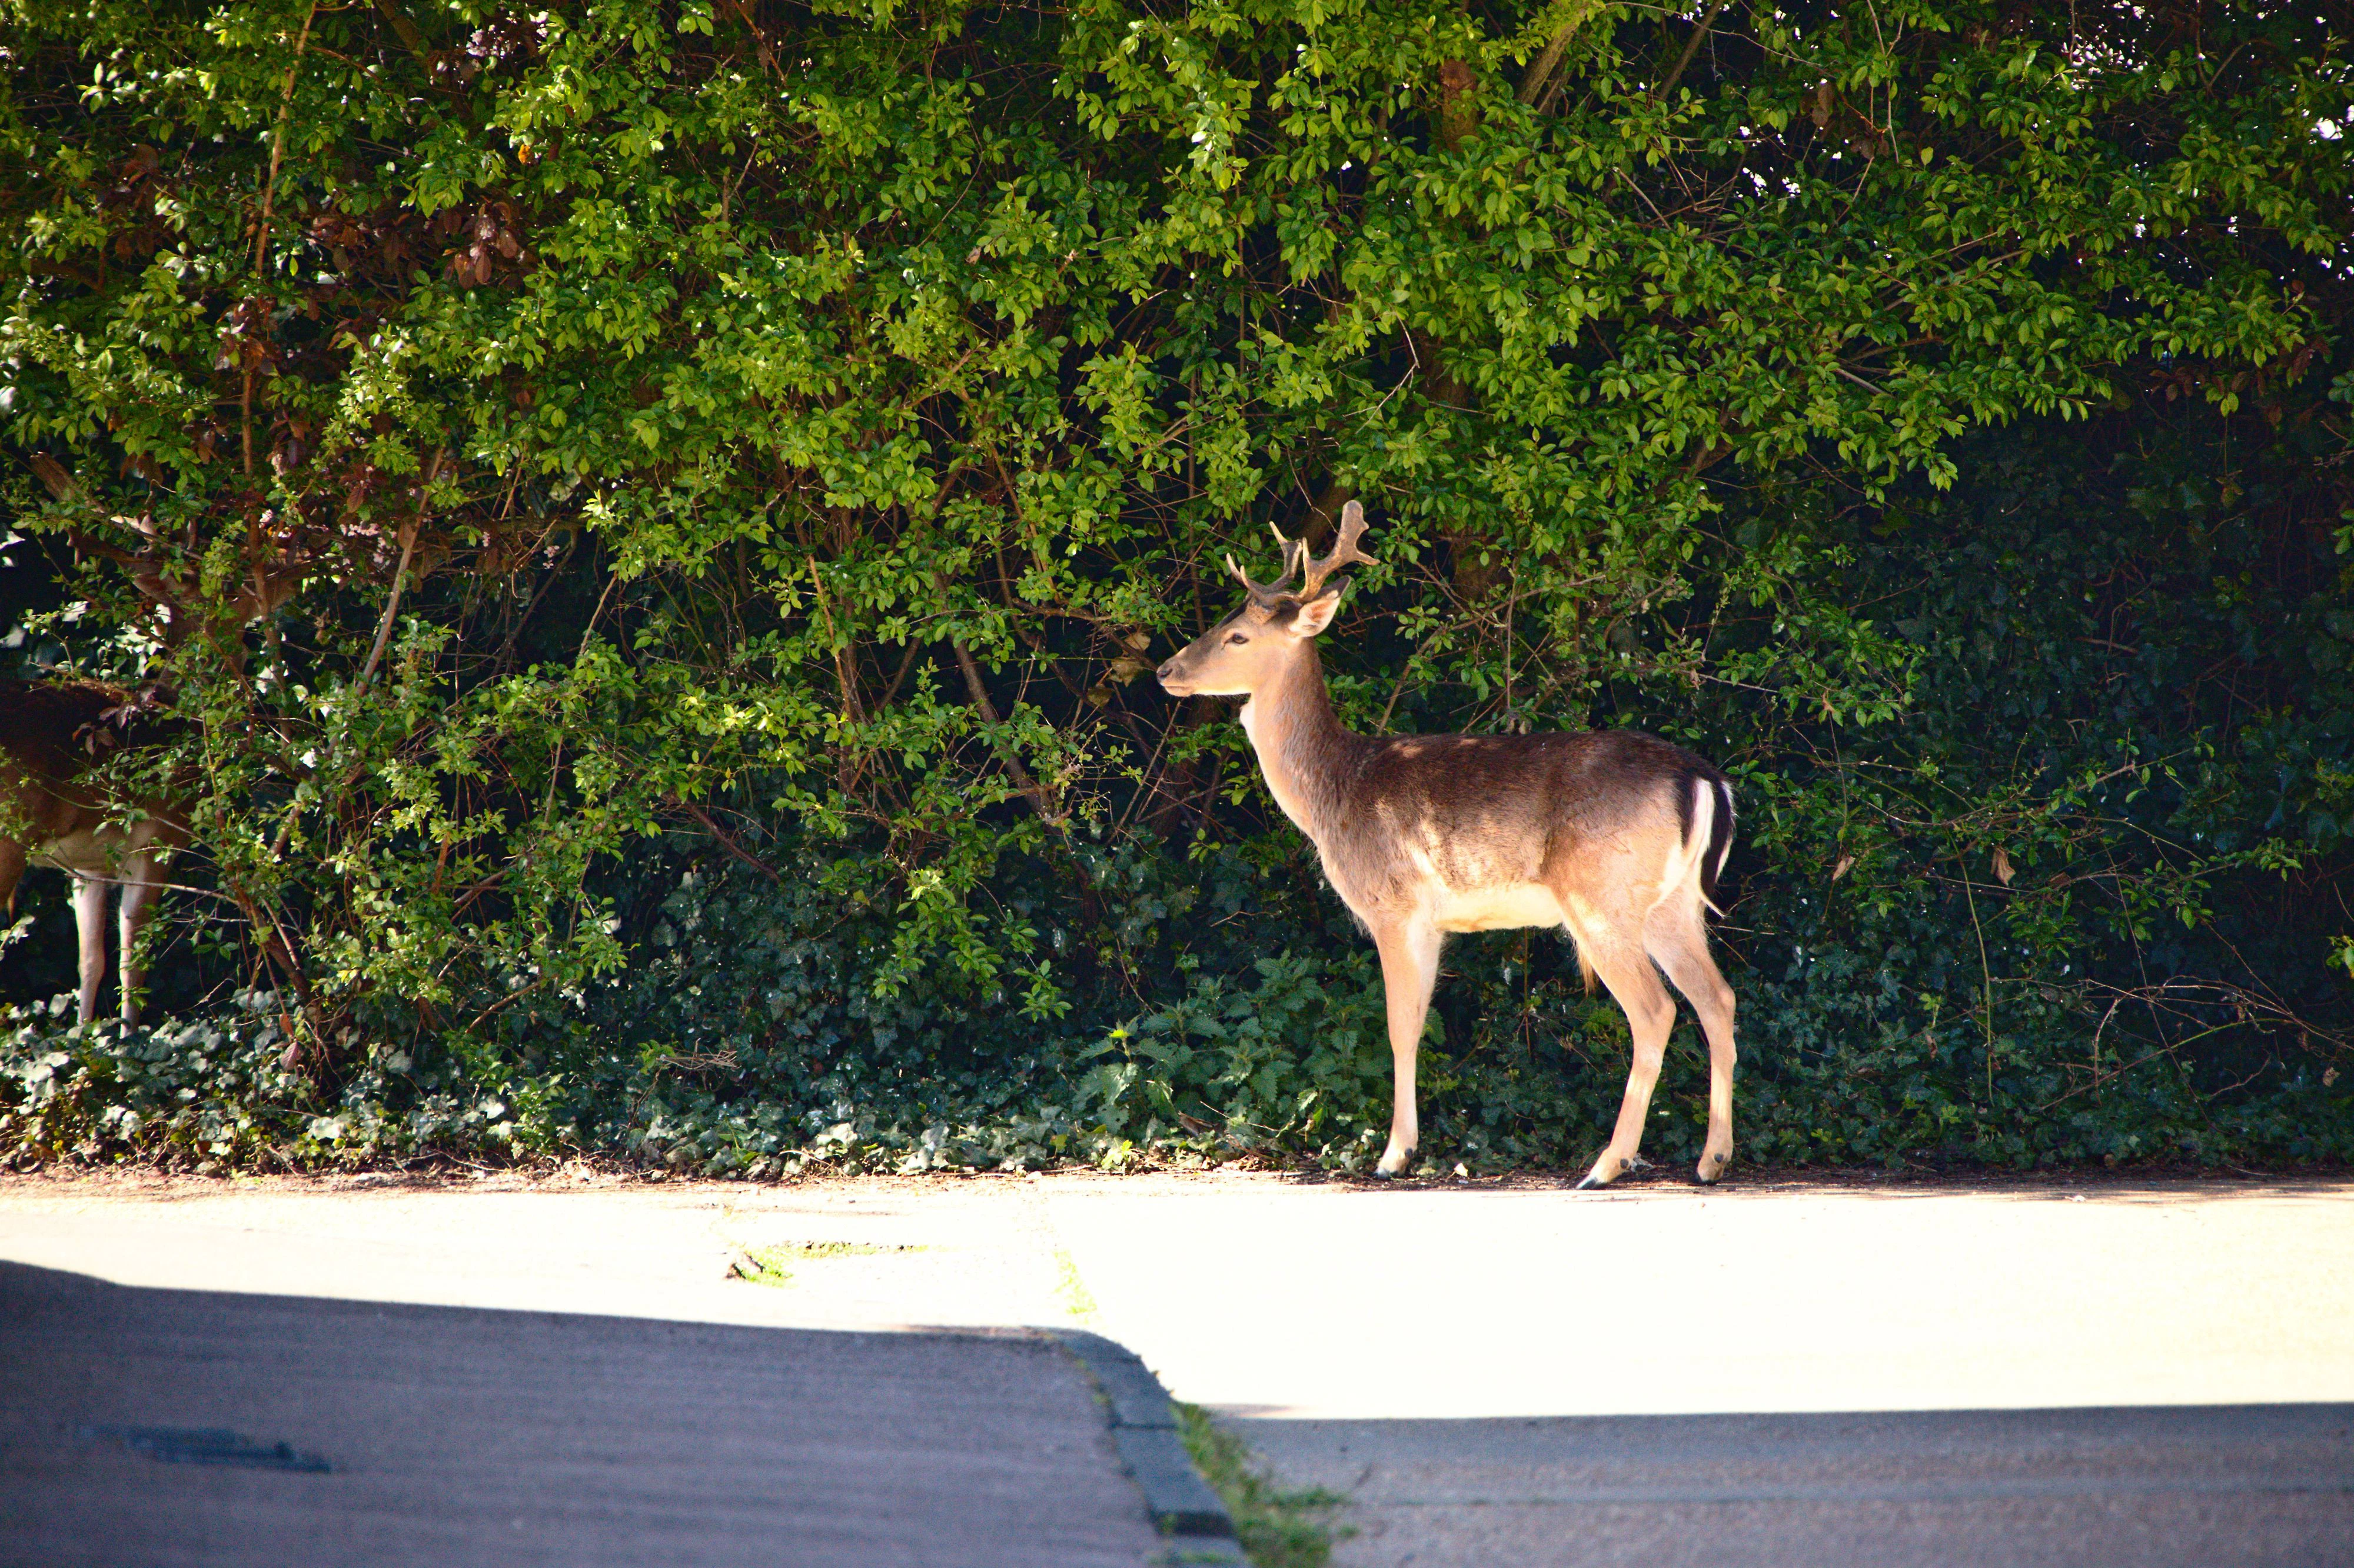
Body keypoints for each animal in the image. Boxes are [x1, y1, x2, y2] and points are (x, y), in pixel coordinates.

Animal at [1, 677, 189, 1026]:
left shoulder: (90, 869)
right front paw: (130, 1034)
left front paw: (86, 1031)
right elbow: (133, 963)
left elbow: (90, 961)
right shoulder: (156, 844)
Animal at [1156, 501, 1738, 1187]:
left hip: (1601, 897)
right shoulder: (1434, 923)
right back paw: (1712, 1159)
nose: (1167, 670)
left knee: (1654, 1010)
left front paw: (1393, 1154)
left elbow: (1398, 1025)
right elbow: (1417, 1022)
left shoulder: (1393, 905)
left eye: (1239, 637)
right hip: (1672, 904)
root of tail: (1701, 779)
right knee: (1717, 997)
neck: (1333, 793)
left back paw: (1607, 1163)